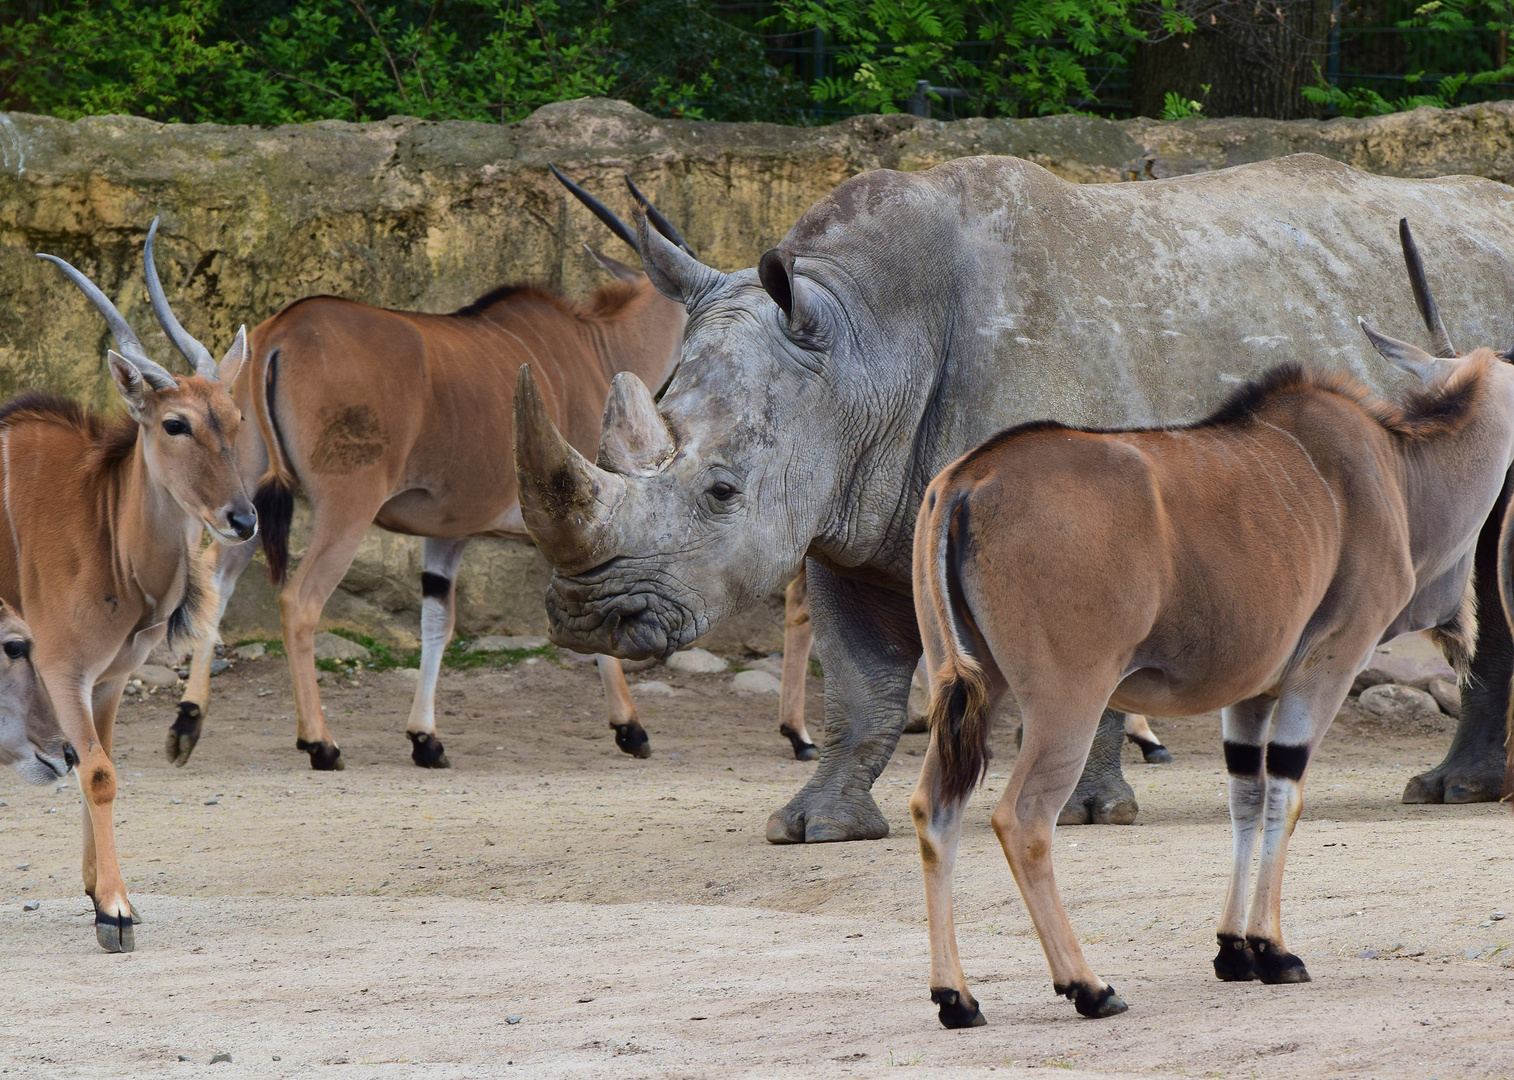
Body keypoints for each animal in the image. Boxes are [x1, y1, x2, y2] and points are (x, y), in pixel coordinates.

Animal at [908, 221, 1514, 1030]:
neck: (1396, 468)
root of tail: (965, 479)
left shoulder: (1251, 692)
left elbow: (1245, 800)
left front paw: (1234, 951)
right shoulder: (1327, 665)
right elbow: (1286, 795)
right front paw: (1277, 953)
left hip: (976, 686)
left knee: (934, 808)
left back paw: (957, 997)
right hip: (1066, 700)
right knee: (1023, 818)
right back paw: (1088, 986)